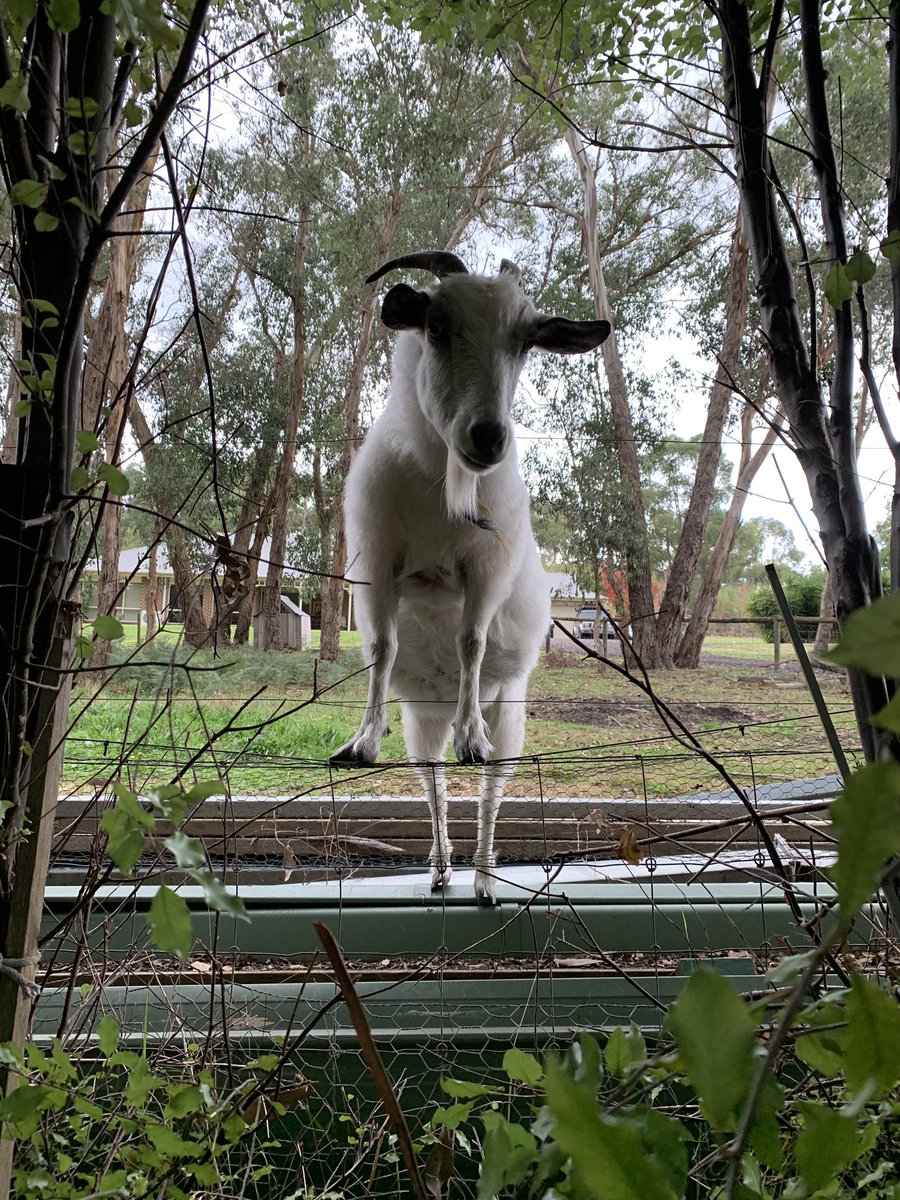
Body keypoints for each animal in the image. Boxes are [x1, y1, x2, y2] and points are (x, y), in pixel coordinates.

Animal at [331, 251, 610, 903]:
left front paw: (470, 738)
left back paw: (482, 876)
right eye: (436, 325)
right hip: (420, 723)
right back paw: (440, 868)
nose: (488, 437)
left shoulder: (486, 569)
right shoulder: (379, 558)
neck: (442, 486)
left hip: (511, 713)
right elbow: (382, 647)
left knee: (490, 792)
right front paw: (361, 742)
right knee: (432, 783)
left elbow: (471, 641)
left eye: (526, 341)